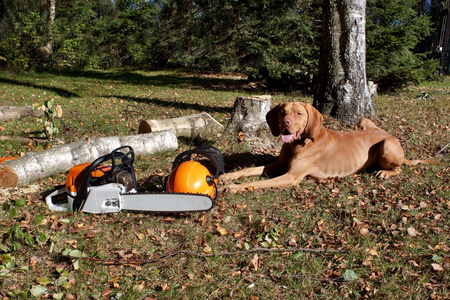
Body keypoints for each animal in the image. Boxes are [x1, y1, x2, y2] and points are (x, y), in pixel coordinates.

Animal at [221, 102, 428, 193]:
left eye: (299, 113)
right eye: (282, 112)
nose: (286, 123)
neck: (298, 144)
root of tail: (389, 134)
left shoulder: (291, 177)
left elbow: (256, 183)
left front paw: (233, 187)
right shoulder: (279, 165)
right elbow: (249, 170)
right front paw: (227, 177)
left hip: (386, 144)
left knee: (398, 168)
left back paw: (385, 172)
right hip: (362, 122)